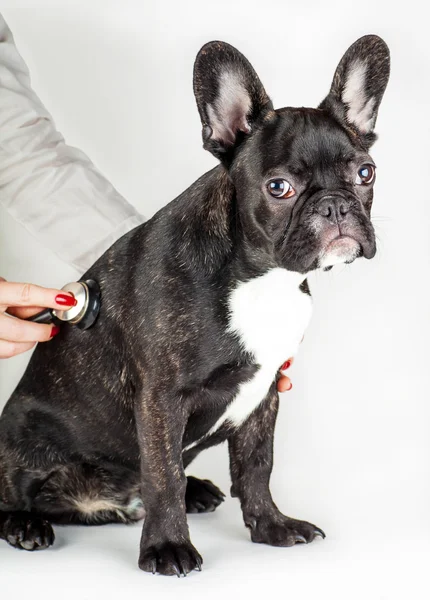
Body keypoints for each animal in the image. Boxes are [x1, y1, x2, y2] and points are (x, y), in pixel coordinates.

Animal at [0, 36, 390, 576]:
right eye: (279, 187)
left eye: (365, 173)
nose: (335, 204)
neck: (261, 276)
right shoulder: (162, 398)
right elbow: (163, 475)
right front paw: (167, 547)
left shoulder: (264, 394)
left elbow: (256, 466)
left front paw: (272, 527)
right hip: (24, 442)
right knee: (14, 492)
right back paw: (26, 524)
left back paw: (198, 491)